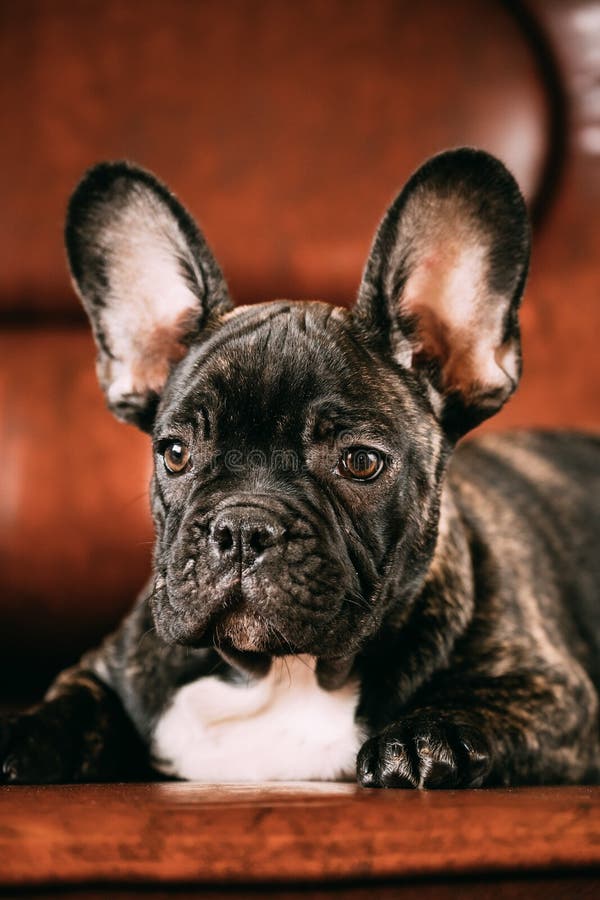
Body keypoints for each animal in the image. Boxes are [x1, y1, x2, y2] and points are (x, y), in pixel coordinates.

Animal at [1, 149, 600, 788]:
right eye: (175, 453)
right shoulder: (102, 669)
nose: (241, 529)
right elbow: (76, 702)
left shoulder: (556, 694)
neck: (281, 676)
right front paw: (23, 728)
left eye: (361, 462)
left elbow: (489, 700)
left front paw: (427, 735)